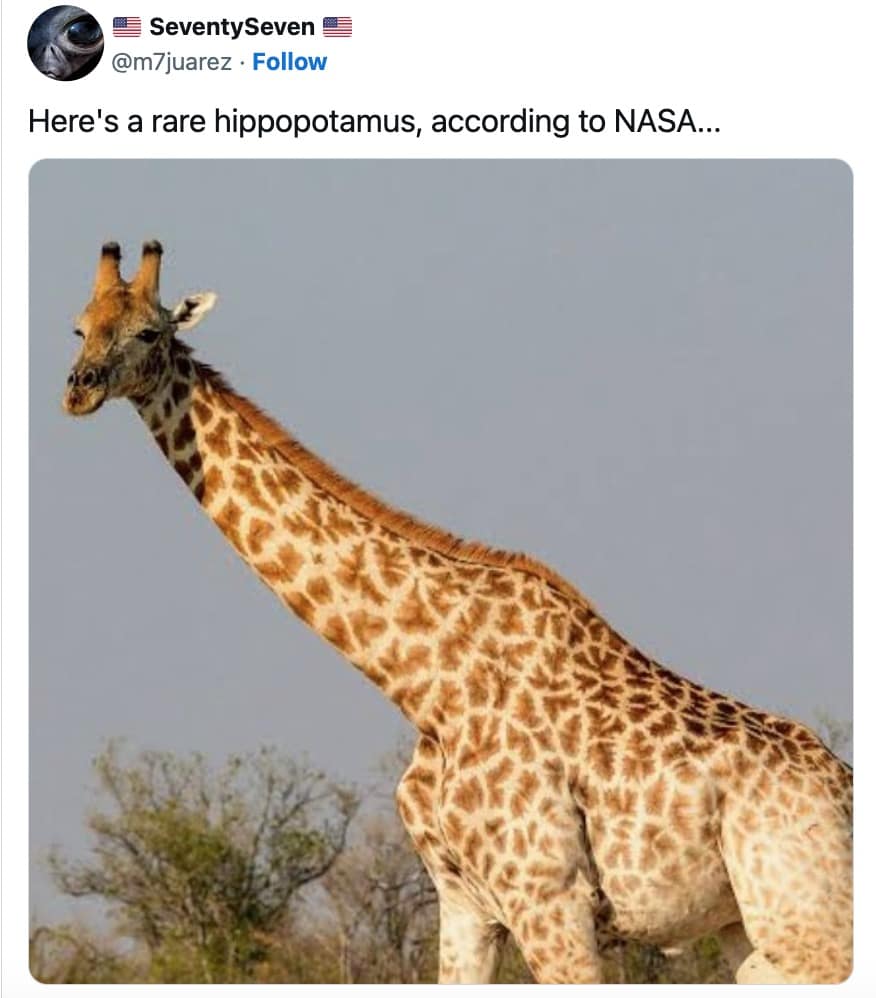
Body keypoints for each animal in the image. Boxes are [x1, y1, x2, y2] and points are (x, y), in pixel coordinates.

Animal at [63, 241, 853, 984]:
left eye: (147, 332)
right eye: (79, 326)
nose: (79, 388)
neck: (424, 684)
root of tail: (845, 787)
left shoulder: (551, 897)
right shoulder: (464, 900)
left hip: (805, 921)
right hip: (745, 928)